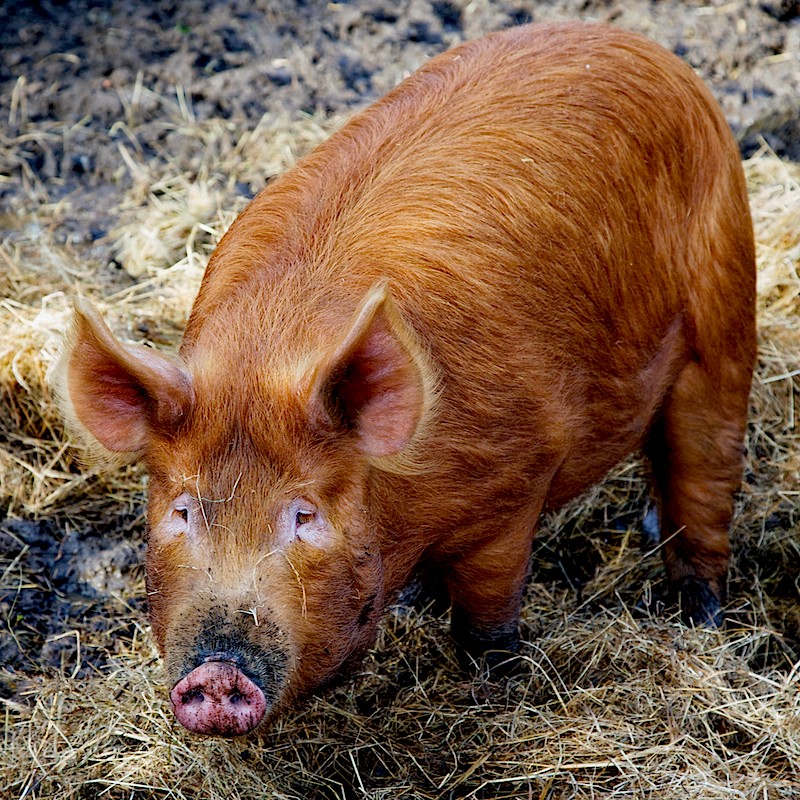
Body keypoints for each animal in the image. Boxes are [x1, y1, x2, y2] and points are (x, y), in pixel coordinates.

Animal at [60, 21, 756, 736]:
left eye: (304, 514)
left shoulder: (515, 480)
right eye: (183, 509)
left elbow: (488, 612)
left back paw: (699, 619)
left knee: (703, 473)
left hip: (723, 309)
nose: (217, 675)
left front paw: (496, 683)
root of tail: (642, 45)